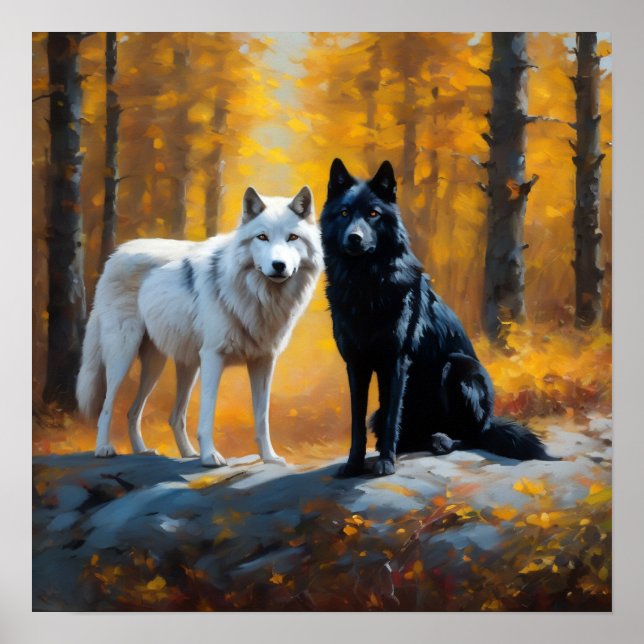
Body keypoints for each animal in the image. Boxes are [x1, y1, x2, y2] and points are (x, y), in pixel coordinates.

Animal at [76, 186, 323, 467]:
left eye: (292, 237)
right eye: (262, 237)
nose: (278, 265)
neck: (260, 297)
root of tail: (115, 255)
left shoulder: (264, 362)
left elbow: (262, 418)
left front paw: (269, 457)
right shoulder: (213, 357)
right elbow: (207, 414)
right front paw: (210, 456)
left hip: (169, 365)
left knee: (149, 413)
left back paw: (158, 451)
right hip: (124, 355)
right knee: (107, 406)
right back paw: (104, 448)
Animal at [320, 159, 557, 477]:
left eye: (373, 214)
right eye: (344, 213)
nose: (354, 238)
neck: (365, 284)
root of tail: (490, 421)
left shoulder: (396, 361)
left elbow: (393, 414)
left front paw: (385, 463)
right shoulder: (356, 365)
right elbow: (357, 423)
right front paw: (354, 465)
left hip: (458, 367)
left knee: (471, 435)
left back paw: (442, 440)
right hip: (388, 412)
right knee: (404, 434)